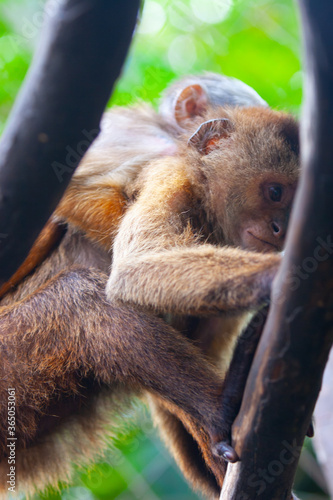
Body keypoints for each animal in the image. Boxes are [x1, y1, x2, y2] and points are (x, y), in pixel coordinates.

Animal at [0, 75, 298, 500]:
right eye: (275, 193)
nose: (279, 231)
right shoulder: (167, 171)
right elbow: (132, 271)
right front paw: (281, 274)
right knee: (82, 298)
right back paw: (221, 409)